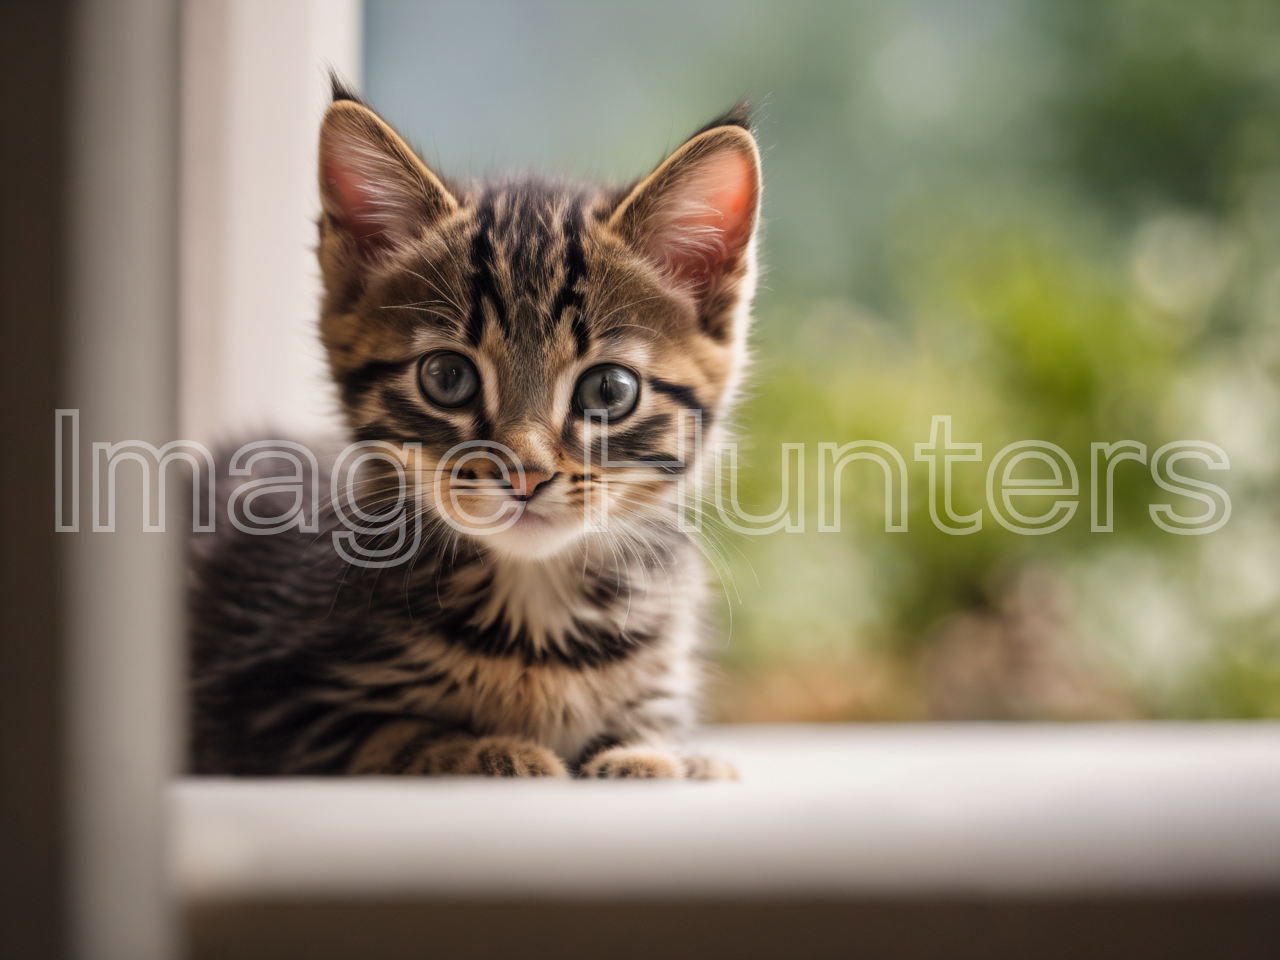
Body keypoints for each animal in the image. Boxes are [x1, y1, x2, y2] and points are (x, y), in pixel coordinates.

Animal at [189, 82, 757, 783]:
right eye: (447, 377)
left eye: (608, 391)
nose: (526, 474)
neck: (535, 608)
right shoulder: (272, 714)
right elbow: (390, 735)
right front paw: (492, 751)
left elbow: (650, 725)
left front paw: (662, 757)